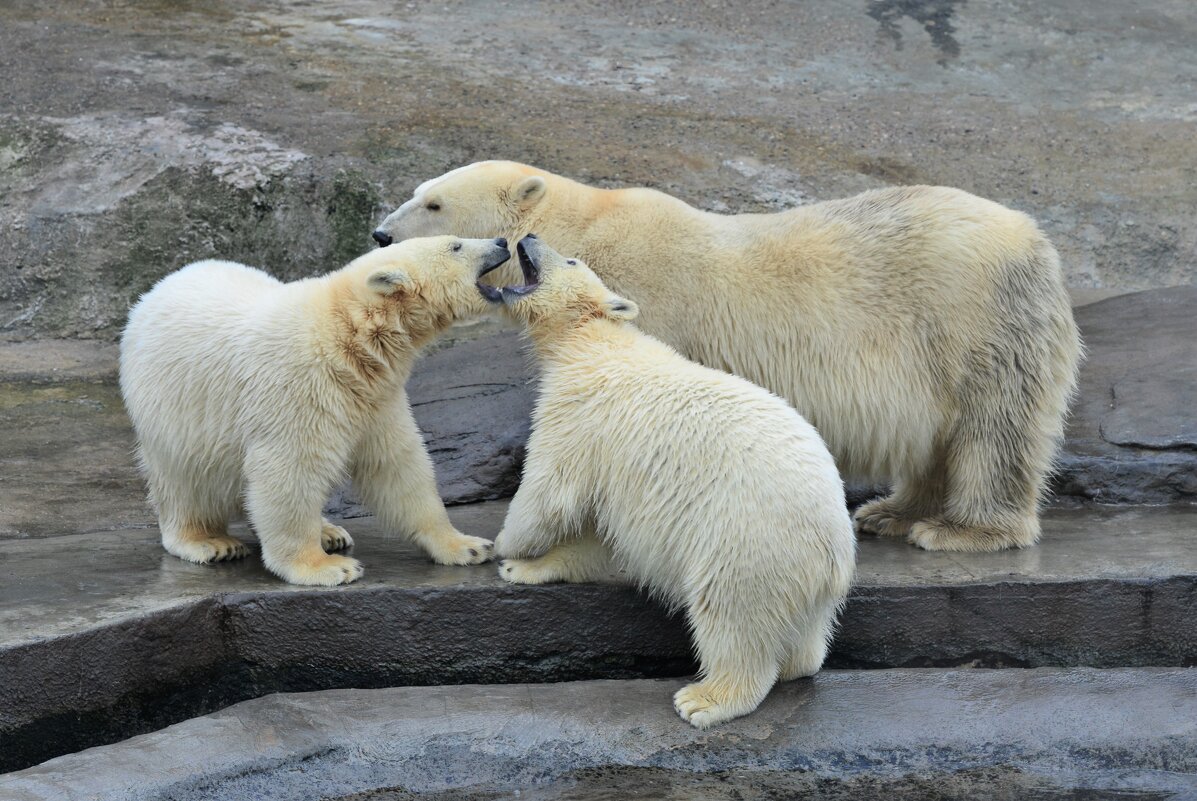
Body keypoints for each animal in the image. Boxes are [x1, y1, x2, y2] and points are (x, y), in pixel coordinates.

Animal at [121, 234, 509, 584]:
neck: (347, 334)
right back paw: (209, 542)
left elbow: (398, 465)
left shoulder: (376, 397)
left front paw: (468, 546)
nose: (503, 242)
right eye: (456, 245)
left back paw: (329, 531)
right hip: (174, 408)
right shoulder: (299, 384)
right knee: (186, 479)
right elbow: (290, 468)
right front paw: (324, 567)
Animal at [373, 160, 1086, 550]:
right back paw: (891, 510)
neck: (587, 230)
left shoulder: (653, 300)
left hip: (975, 319)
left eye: (433, 202)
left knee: (995, 428)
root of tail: (1040, 244)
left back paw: (962, 529)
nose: (379, 232)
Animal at [488, 234, 861, 727]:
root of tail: (835, 552)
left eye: (569, 259)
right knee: (805, 634)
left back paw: (705, 699)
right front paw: (527, 568)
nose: (528, 237)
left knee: (732, 617)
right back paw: (794, 665)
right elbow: (598, 531)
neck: (591, 337)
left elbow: (549, 489)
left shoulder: (578, 410)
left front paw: (504, 546)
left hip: (748, 543)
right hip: (802, 580)